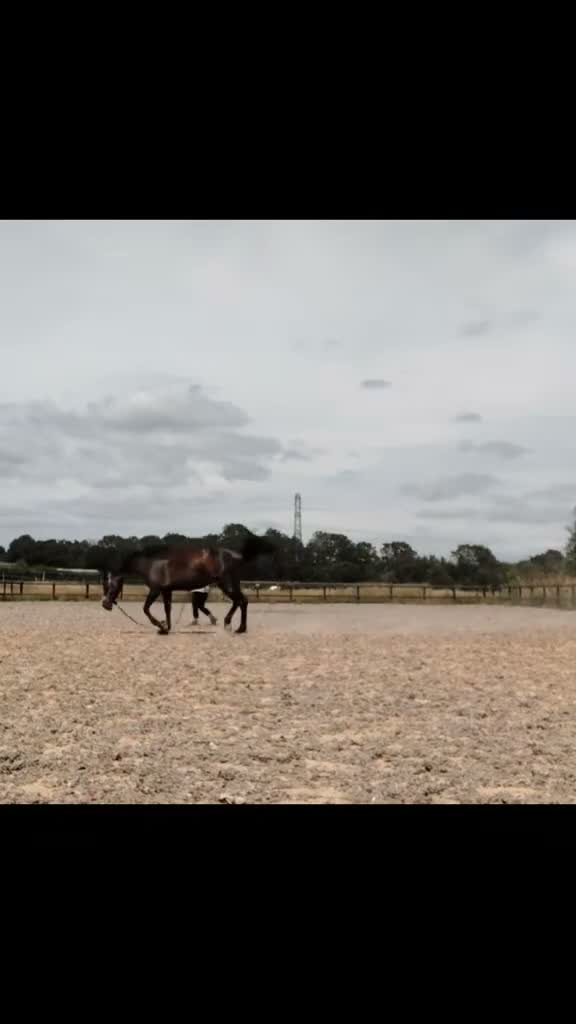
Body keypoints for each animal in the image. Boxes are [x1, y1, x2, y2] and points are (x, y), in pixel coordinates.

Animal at [101, 534, 275, 634]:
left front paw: (160, 626)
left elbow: (146, 609)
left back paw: (236, 628)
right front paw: (166, 627)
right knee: (240, 601)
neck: (152, 562)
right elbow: (167, 609)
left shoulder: (156, 590)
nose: (105, 604)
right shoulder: (166, 590)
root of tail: (237, 555)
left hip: (225, 583)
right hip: (229, 583)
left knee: (241, 601)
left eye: (112, 585)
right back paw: (233, 625)